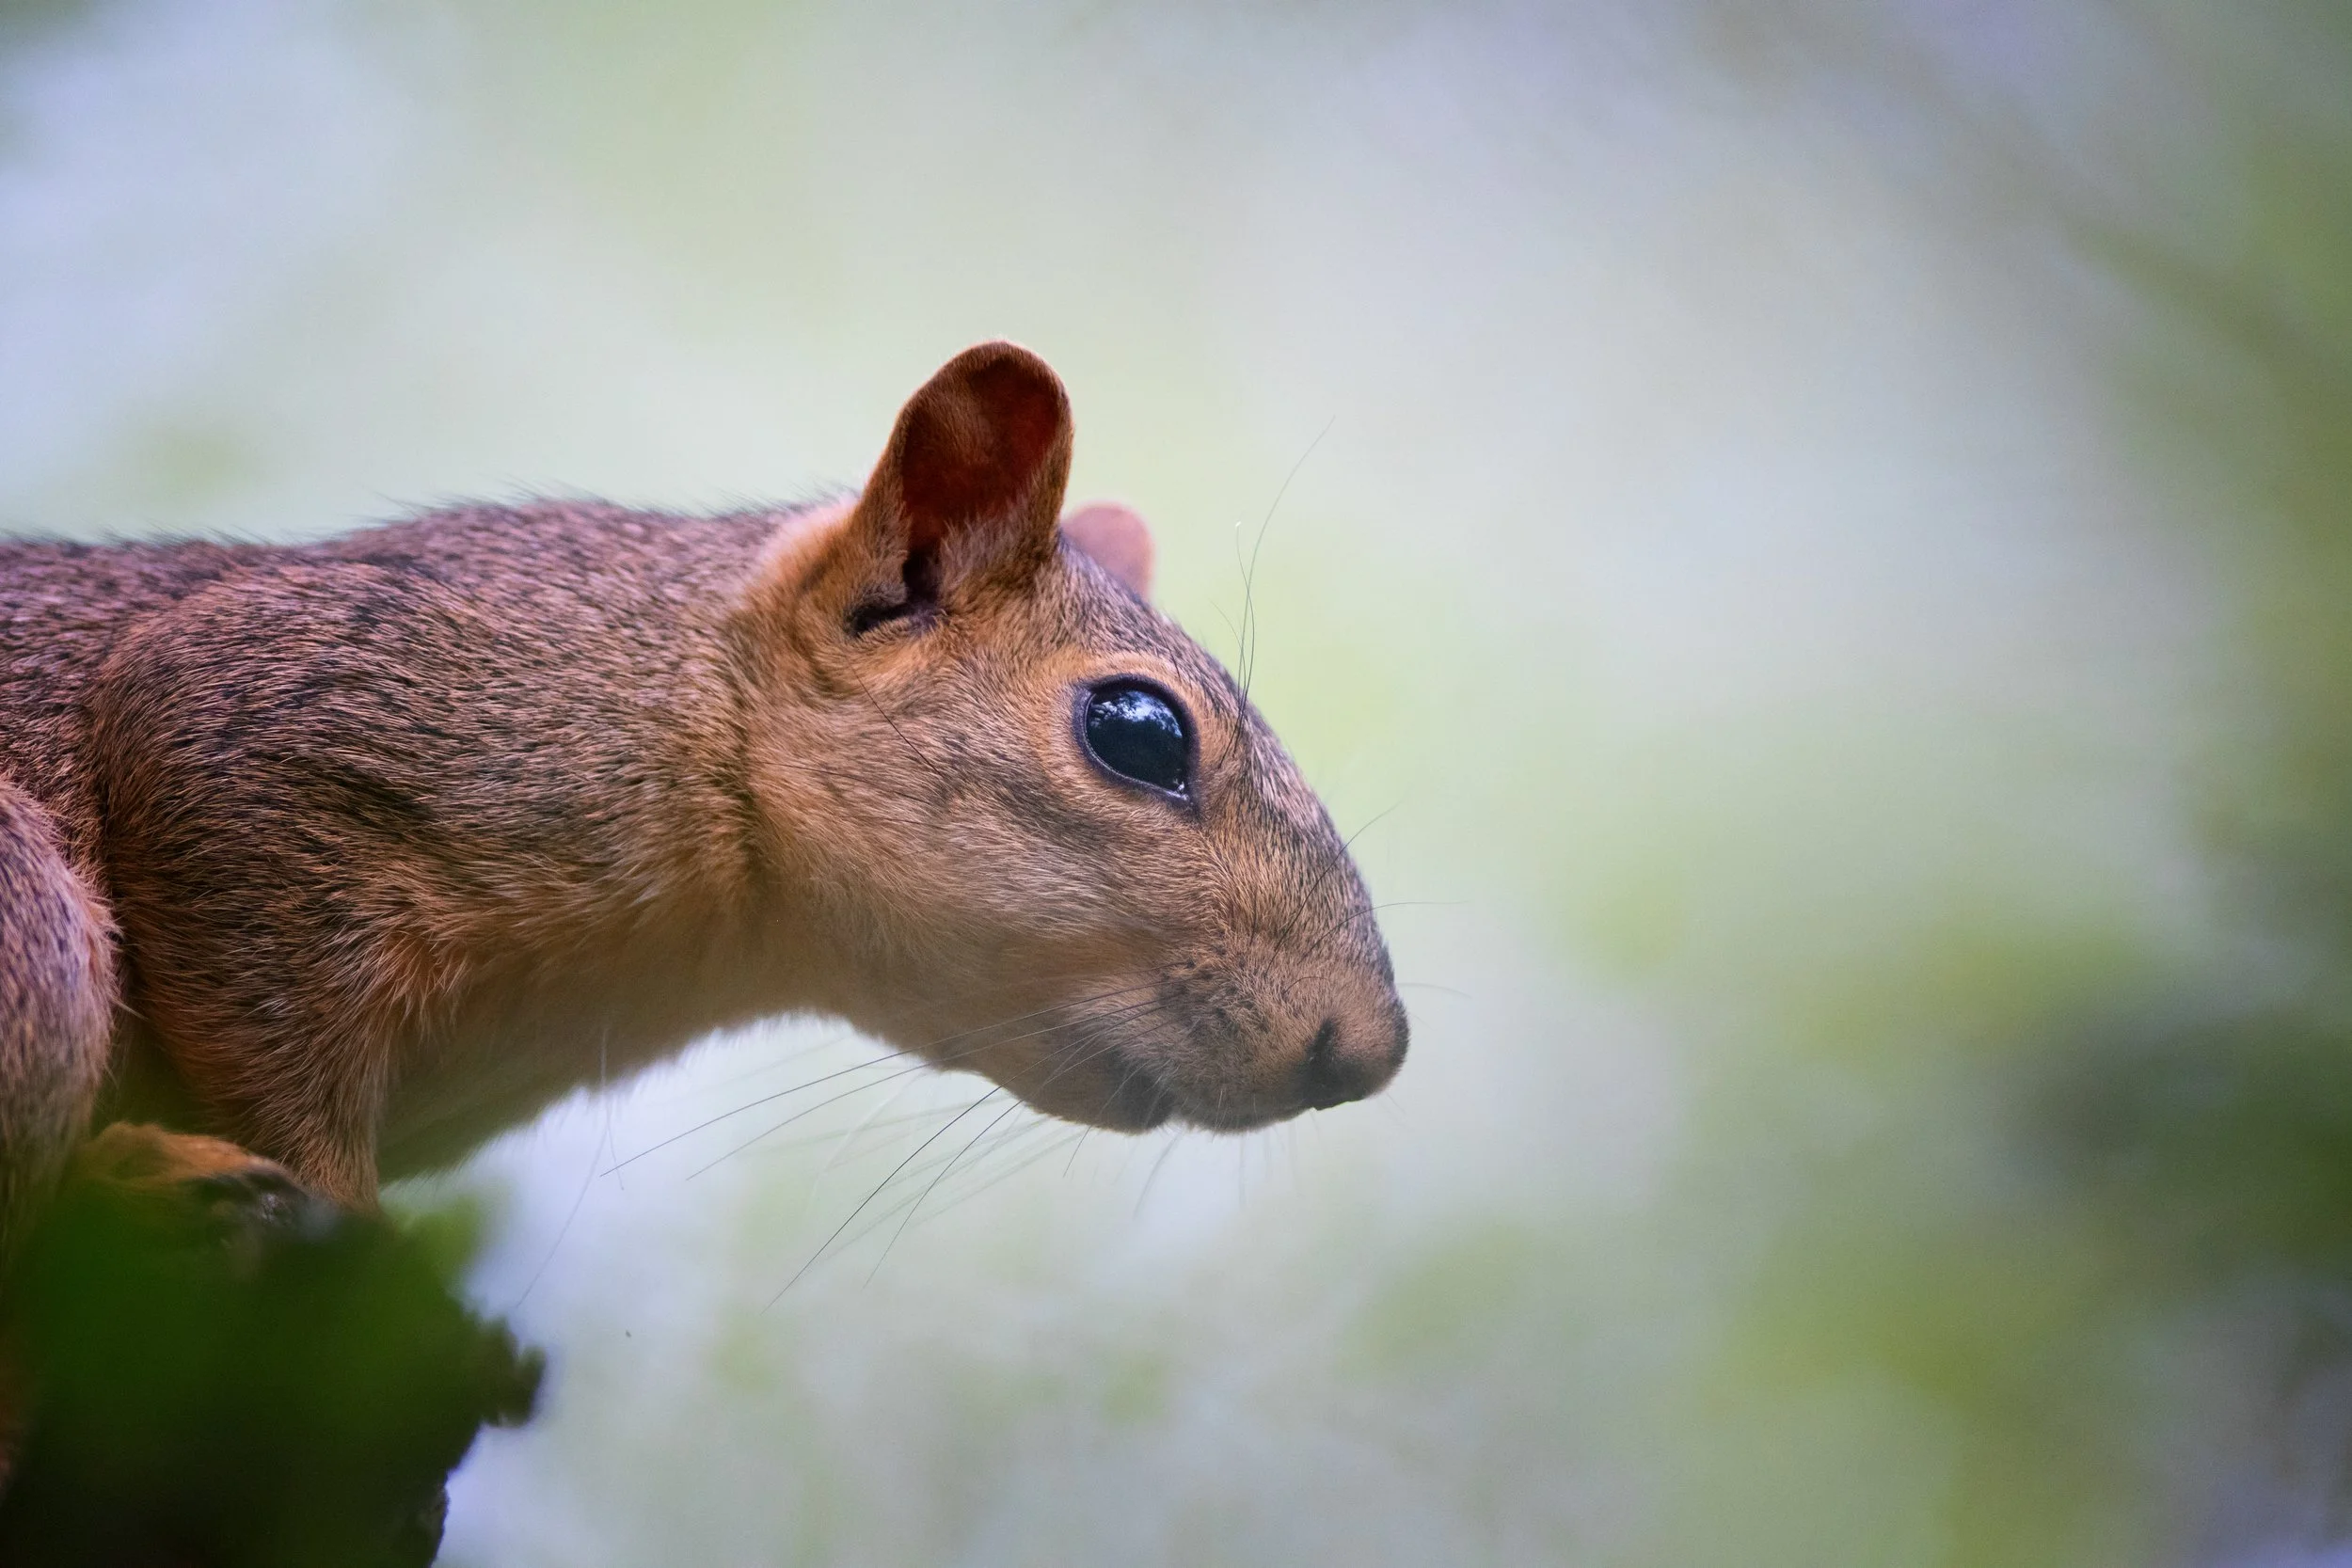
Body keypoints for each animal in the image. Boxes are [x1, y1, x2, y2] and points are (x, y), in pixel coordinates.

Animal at [0, 340, 1407, 1265]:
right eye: (1137, 731)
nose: (1369, 1049)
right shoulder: (305, 715)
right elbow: (274, 1061)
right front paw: (315, 1204)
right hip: (37, 942)